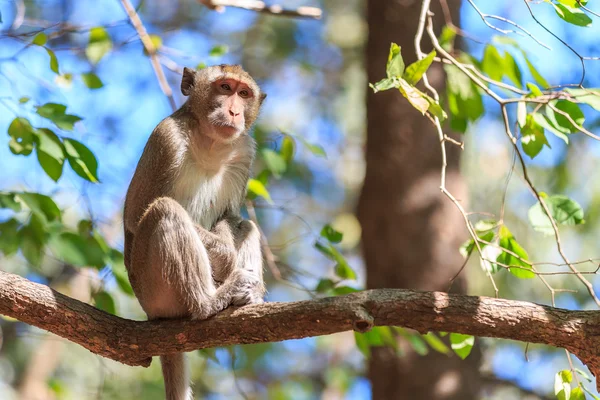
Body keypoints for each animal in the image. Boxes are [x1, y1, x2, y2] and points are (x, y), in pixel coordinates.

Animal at [123, 64, 266, 398]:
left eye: (244, 93)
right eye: (225, 87)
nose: (234, 111)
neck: (209, 142)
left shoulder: (244, 151)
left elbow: (231, 217)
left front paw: (228, 238)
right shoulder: (165, 138)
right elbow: (135, 215)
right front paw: (226, 255)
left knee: (248, 225)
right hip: (153, 290)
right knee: (165, 209)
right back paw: (208, 303)